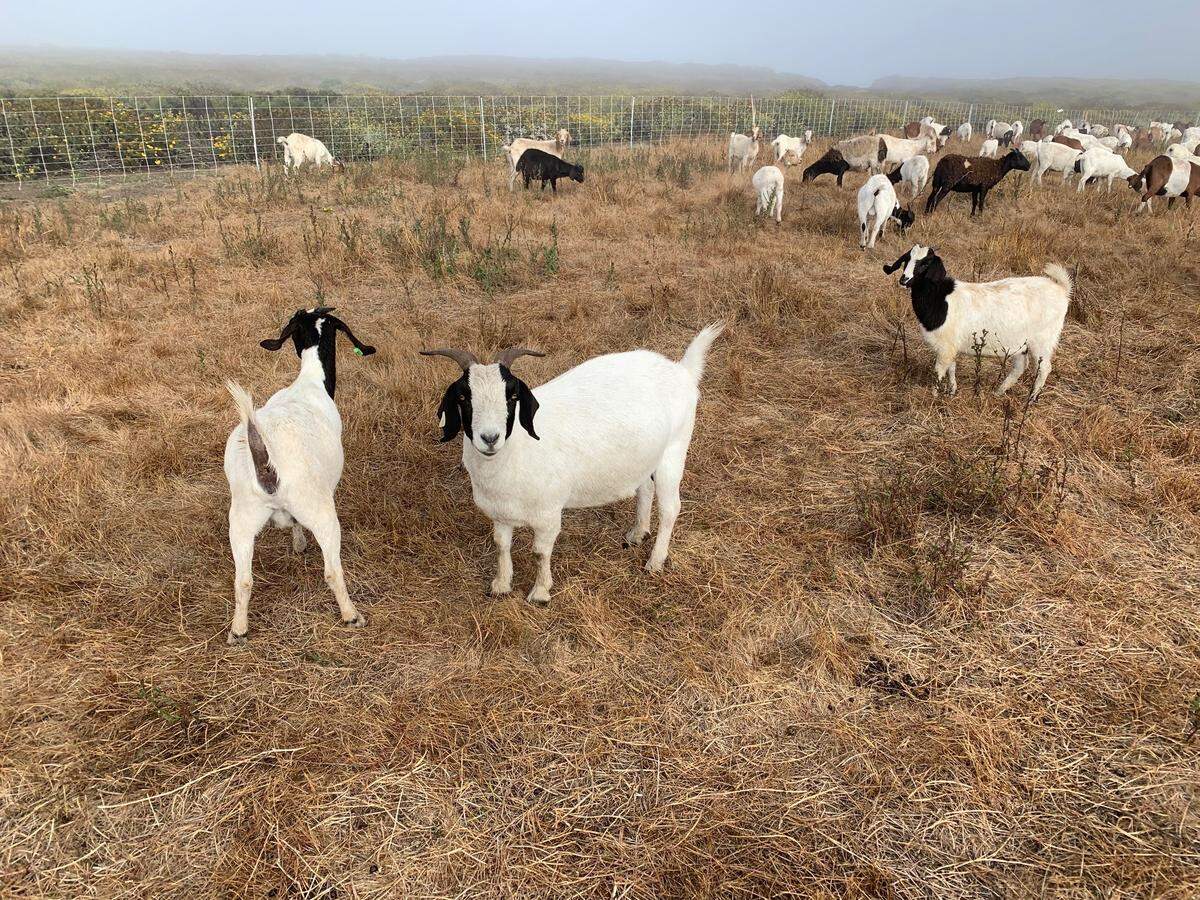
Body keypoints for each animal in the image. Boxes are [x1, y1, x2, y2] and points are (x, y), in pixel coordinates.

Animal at [223, 308, 377, 644]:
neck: (309, 383)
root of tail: (265, 461)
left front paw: (297, 543)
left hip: (241, 518)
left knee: (243, 580)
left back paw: (238, 630)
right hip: (319, 509)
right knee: (332, 570)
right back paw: (351, 615)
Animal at [420, 326, 723, 605]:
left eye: (512, 396)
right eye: (463, 397)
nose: (490, 438)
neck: (517, 449)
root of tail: (682, 370)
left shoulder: (548, 514)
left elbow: (540, 552)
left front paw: (540, 593)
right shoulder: (500, 513)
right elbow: (501, 545)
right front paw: (501, 585)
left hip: (674, 451)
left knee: (671, 508)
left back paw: (655, 562)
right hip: (645, 456)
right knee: (644, 489)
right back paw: (637, 534)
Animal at [883, 245, 1070, 399]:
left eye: (925, 263)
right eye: (906, 259)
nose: (904, 280)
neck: (940, 299)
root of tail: (1061, 289)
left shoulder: (945, 348)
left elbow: (939, 371)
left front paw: (933, 396)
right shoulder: (951, 346)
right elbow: (951, 368)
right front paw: (951, 391)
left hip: (1042, 341)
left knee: (1044, 368)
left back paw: (1031, 399)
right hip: (1021, 344)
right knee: (1019, 367)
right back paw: (998, 392)